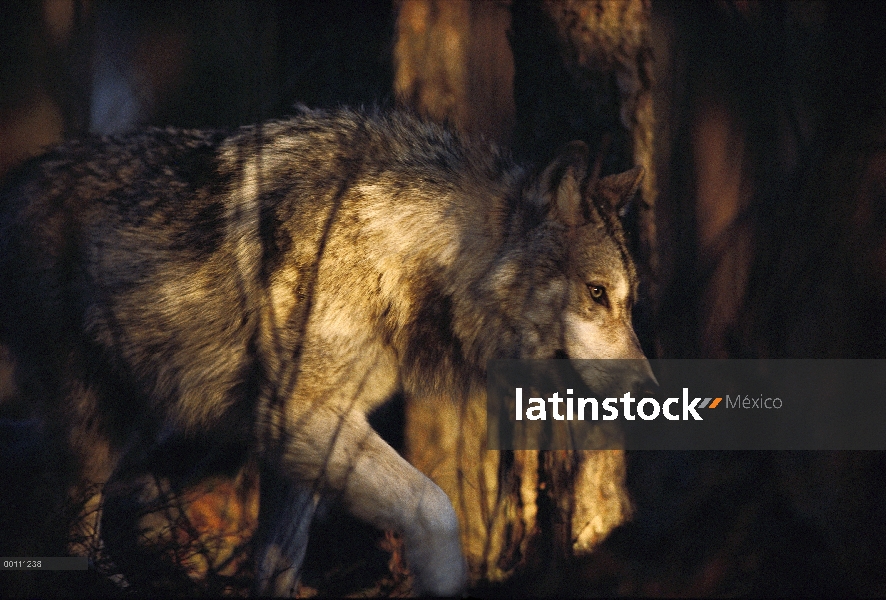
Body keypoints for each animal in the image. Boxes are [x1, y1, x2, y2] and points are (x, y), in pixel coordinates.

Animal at [0, 108, 652, 596]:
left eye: (629, 301)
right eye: (597, 294)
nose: (649, 390)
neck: (407, 251)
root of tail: (18, 178)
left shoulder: (301, 439)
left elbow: (277, 567)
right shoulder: (300, 415)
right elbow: (435, 508)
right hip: (100, 433)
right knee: (68, 527)